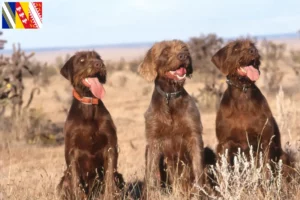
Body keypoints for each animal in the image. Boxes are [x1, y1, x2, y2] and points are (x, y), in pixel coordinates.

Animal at [56, 51, 123, 200]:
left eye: (98, 57)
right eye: (81, 60)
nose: (99, 64)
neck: (89, 102)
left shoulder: (110, 146)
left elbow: (109, 177)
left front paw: (109, 195)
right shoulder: (72, 151)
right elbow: (75, 180)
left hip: (120, 176)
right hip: (63, 181)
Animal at [138, 39, 211, 196]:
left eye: (185, 49)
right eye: (165, 51)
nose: (184, 56)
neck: (170, 97)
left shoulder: (194, 135)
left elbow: (198, 169)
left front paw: (201, 192)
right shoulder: (153, 140)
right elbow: (152, 174)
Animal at [211, 40, 292, 175]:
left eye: (252, 46)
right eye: (236, 48)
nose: (253, 51)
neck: (242, 93)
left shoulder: (265, 142)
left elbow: (265, 170)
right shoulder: (224, 144)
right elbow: (224, 172)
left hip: (284, 157)